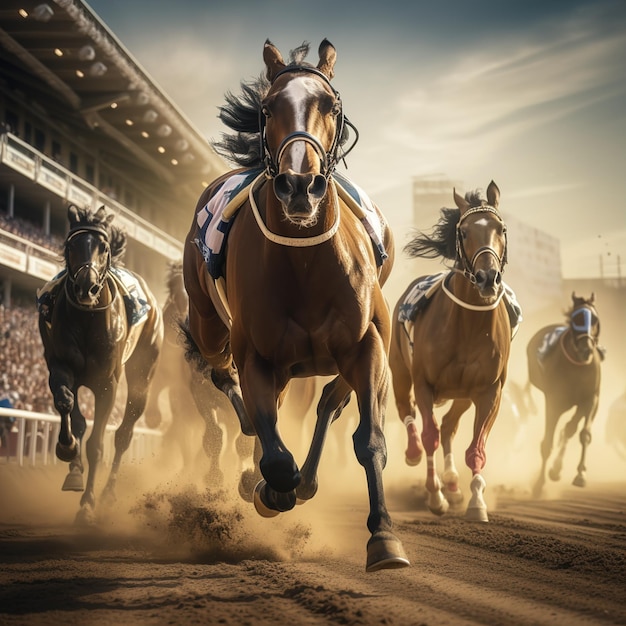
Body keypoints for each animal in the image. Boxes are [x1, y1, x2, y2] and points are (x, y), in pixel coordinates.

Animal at [37, 206, 162, 520]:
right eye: (71, 245)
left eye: (103, 247)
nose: (87, 287)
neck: (87, 317)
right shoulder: (60, 366)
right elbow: (67, 406)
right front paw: (67, 450)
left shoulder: (107, 383)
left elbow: (97, 443)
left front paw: (88, 504)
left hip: (143, 372)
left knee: (124, 434)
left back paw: (108, 494)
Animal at [182, 36, 404, 568]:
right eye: (268, 107)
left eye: (331, 106)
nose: (300, 185)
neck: (305, 263)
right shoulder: (257, 357)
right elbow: (276, 458)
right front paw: (267, 488)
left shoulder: (367, 344)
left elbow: (369, 440)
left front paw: (384, 536)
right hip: (207, 324)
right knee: (225, 379)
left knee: (328, 402)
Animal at [388, 182, 516, 520]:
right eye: (464, 231)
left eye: (501, 229)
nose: (487, 278)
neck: (469, 325)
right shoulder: (424, 383)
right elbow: (429, 435)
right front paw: (435, 497)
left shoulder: (489, 390)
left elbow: (475, 449)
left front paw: (476, 502)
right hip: (400, 371)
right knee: (408, 413)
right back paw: (414, 454)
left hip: (462, 395)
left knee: (448, 426)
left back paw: (453, 482)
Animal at [528, 290, 600, 494]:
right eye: (576, 318)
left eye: (594, 319)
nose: (586, 349)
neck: (577, 365)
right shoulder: (554, 400)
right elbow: (547, 442)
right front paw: (539, 484)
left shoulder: (590, 399)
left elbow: (583, 434)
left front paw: (580, 476)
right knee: (566, 429)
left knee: (570, 428)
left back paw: (557, 469)